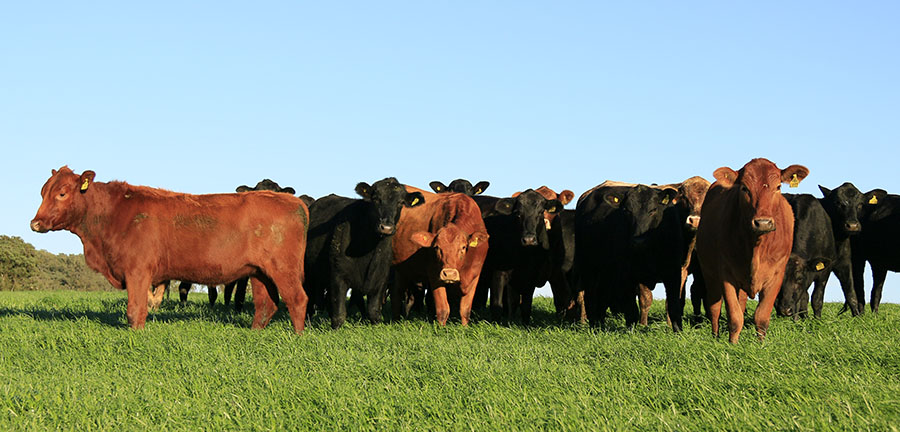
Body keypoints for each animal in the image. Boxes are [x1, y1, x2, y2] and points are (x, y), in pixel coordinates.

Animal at [304, 177, 424, 330]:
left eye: (401, 203)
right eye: (376, 199)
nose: (386, 227)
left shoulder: (381, 278)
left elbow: (374, 312)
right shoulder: (338, 276)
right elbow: (339, 315)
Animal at [390, 186, 488, 324]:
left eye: (463, 247)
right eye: (437, 247)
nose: (449, 274)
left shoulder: (475, 275)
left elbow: (465, 310)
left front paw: (464, 327)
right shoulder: (434, 273)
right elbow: (443, 310)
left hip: (402, 269)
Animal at [580, 181, 680, 328]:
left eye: (653, 210)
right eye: (627, 211)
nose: (638, 241)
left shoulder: (673, 272)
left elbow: (673, 305)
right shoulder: (628, 275)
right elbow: (635, 307)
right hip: (589, 267)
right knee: (589, 297)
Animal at [692, 159, 812, 344]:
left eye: (778, 187)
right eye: (744, 188)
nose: (763, 223)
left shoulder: (776, 275)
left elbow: (761, 316)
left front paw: (760, 344)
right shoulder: (725, 275)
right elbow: (734, 317)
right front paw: (732, 344)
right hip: (709, 273)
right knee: (714, 307)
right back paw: (715, 336)